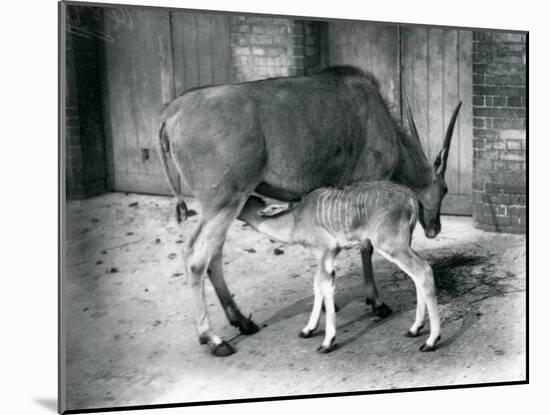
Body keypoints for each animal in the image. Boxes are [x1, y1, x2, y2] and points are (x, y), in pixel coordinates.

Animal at [239, 182, 442, 354]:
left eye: (243, 203)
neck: (295, 220)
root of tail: (410, 198)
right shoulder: (326, 256)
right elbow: (318, 286)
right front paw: (308, 329)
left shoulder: (325, 251)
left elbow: (325, 286)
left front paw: (327, 342)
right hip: (405, 244)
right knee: (418, 275)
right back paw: (415, 328)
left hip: (392, 246)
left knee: (423, 271)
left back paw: (431, 340)